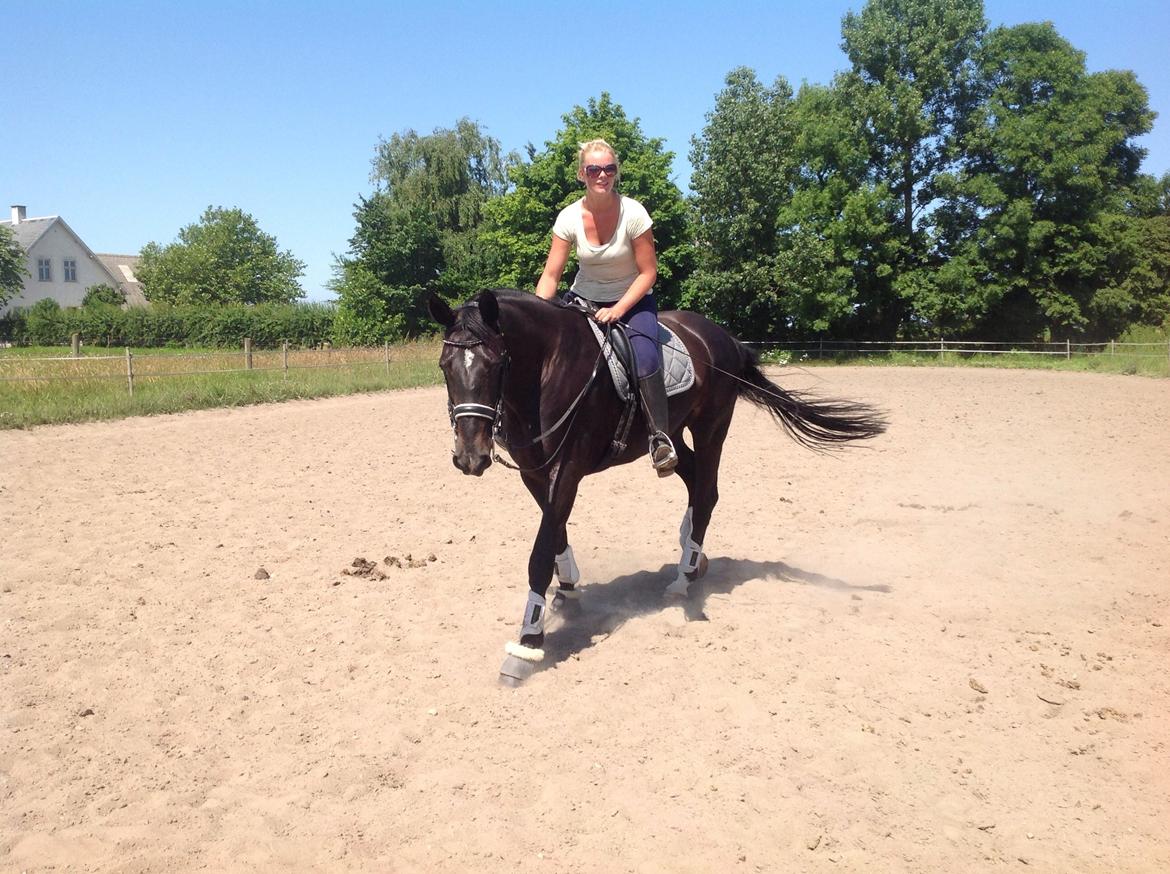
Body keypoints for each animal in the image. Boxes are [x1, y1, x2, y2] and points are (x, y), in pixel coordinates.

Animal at [430, 290, 884, 687]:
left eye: (496, 362)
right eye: (444, 366)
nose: (470, 456)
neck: (546, 368)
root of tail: (726, 338)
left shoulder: (568, 468)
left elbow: (540, 551)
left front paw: (525, 645)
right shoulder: (534, 471)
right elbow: (554, 528)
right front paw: (569, 585)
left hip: (712, 427)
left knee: (708, 492)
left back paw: (684, 576)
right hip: (673, 432)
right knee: (695, 480)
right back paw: (693, 557)